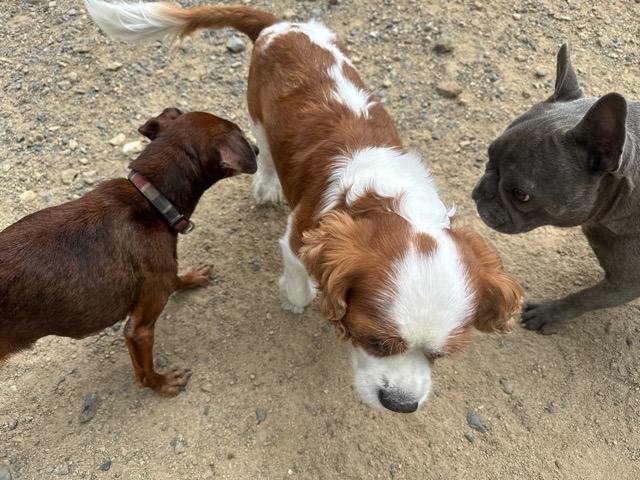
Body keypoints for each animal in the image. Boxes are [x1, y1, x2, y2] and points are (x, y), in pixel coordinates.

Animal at [0, 108, 258, 396]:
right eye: (242, 135)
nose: (259, 149)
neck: (151, 200)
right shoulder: (139, 329)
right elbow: (144, 372)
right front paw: (162, 384)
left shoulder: (163, 277)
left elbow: (176, 279)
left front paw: (192, 277)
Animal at [84, 0, 523, 413]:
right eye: (374, 341)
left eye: (440, 355)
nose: (401, 404)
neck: (385, 202)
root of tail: (280, 25)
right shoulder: (298, 237)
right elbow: (298, 286)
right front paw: (302, 297)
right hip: (257, 118)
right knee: (262, 150)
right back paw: (266, 184)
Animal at [473, 43, 640, 335]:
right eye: (489, 156)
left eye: (521, 195)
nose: (482, 190)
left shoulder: (625, 283)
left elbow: (585, 298)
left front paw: (549, 313)